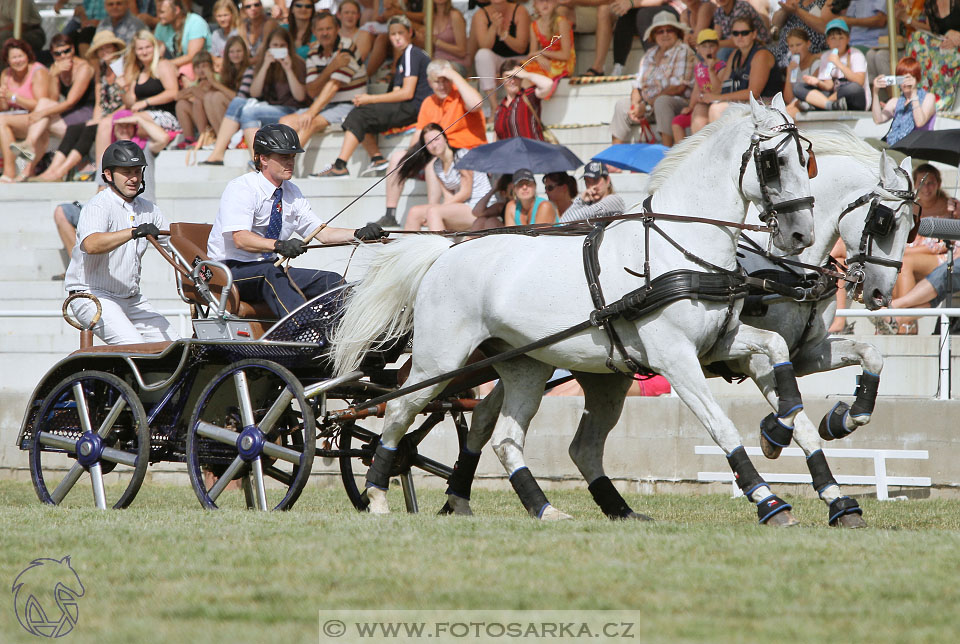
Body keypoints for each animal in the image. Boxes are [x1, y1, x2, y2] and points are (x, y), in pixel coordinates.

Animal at [334, 98, 812, 524]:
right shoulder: (676, 358)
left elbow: (776, 345)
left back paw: (545, 508)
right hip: (440, 361)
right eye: (774, 161)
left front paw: (780, 426)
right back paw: (377, 493)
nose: (801, 234)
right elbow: (721, 426)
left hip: (524, 365)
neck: (676, 248)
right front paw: (770, 502)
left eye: (806, 159)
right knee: (399, 411)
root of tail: (446, 250)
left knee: (505, 437)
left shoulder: (718, 344)